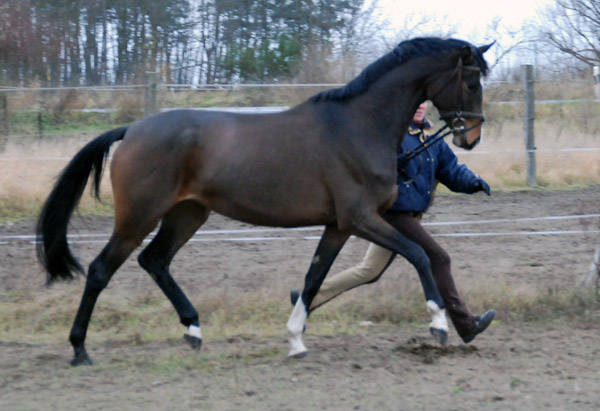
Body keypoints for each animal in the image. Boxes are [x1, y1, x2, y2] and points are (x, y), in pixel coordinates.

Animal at [36, 37, 492, 366]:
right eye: (472, 82)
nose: (471, 138)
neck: (358, 126)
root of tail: (131, 130)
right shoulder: (361, 218)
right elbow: (419, 255)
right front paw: (438, 325)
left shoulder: (339, 225)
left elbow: (314, 277)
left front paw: (295, 341)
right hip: (139, 216)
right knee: (101, 270)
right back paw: (80, 350)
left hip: (187, 214)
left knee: (155, 261)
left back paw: (193, 330)